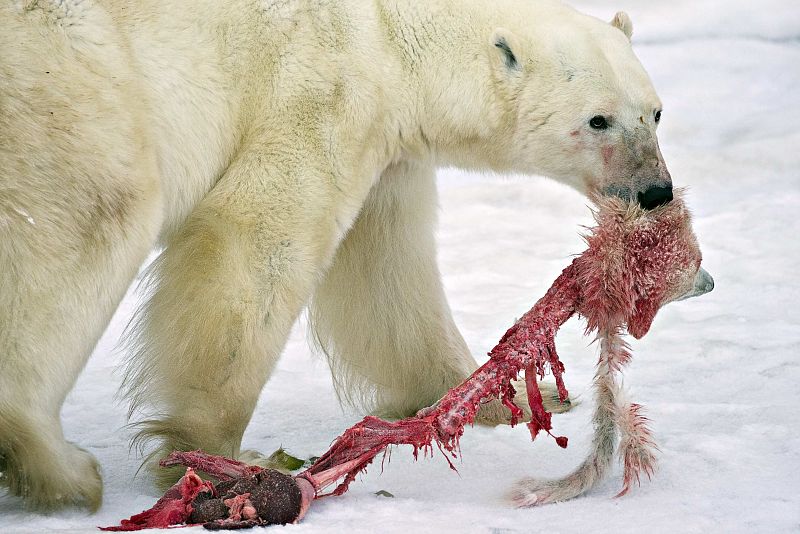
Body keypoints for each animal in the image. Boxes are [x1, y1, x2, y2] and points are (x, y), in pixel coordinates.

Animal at [0, 0, 672, 516]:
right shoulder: (319, 88)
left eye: (656, 111)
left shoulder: (385, 146)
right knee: (92, 219)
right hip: (75, 82)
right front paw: (224, 454)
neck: (391, 30)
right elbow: (259, 239)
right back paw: (57, 468)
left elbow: (387, 272)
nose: (656, 191)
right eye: (597, 120)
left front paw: (490, 400)